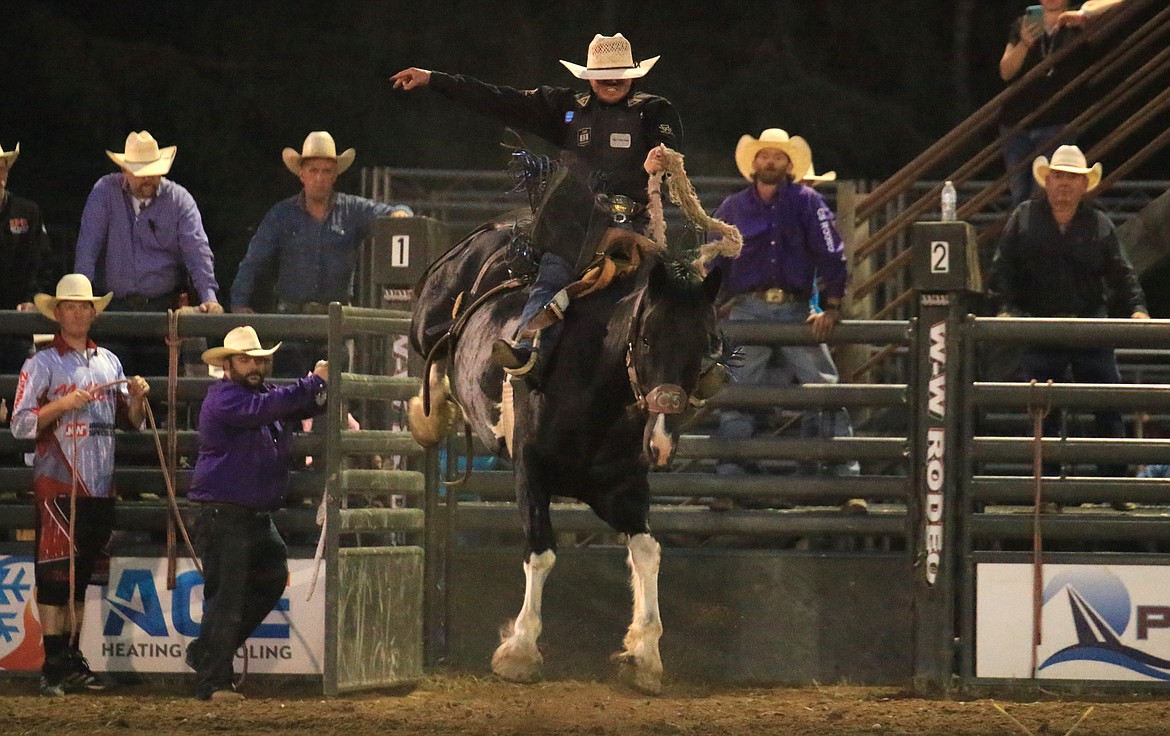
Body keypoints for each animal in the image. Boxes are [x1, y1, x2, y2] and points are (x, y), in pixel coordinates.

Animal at [408, 213, 724, 694]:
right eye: (647, 340)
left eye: (702, 344)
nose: (662, 441)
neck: (592, 387)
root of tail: (501, 226)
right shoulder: (530, 473)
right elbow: (541, 552)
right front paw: (520, 651)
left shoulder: (620, 489)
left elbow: (647, 550)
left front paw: (645, 654)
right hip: (427, 317)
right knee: (434, 352)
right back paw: (428, 416)